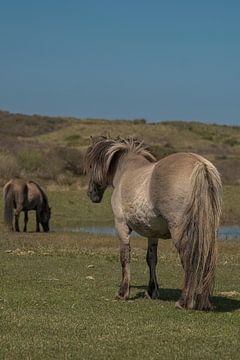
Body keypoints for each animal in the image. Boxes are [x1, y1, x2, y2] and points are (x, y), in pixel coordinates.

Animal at [85, 136, 222, 310]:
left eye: (91, 166)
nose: (91, 193)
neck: (126, 172)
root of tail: (200, 165)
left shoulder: (121, 225)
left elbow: (125, 256)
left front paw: (123, 292)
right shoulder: (152, 233)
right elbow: (151, 259)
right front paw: (152, 291)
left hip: (180, 232)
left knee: (188, 259)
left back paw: (184, 302)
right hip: (208, 232)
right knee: (207, 259)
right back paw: (205, 302)